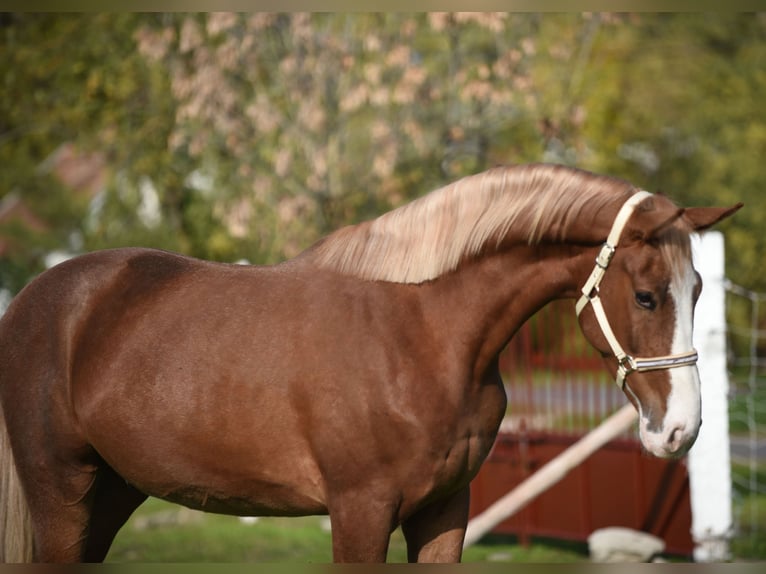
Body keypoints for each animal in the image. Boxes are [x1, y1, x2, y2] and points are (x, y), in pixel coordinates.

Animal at [0, 164, 744, 564]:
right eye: (646, 295)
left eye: (700, 289)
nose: (680, 429)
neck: (422, 335)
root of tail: (33, 299)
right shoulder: (360, 511)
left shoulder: (444, 509)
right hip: (62, 492)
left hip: (112, 493)